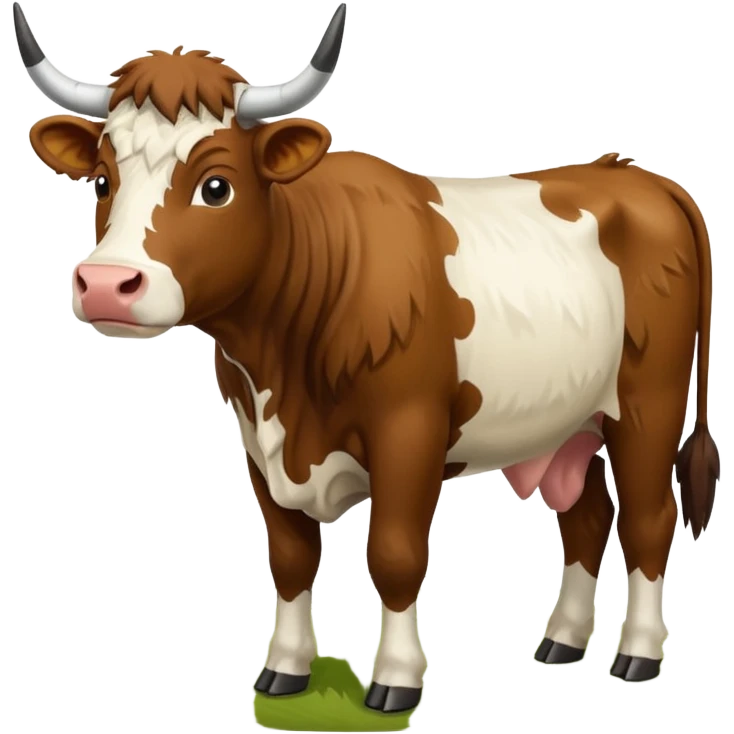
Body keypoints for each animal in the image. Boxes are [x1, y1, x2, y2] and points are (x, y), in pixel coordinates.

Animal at [14, 0, 719, 707]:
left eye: (216, 186)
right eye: (102, 179)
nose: (106, 283)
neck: (282, 363)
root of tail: (633, 176)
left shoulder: (409, 431)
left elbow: (394, 554)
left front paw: (397, 679)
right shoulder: (257, 436)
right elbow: (291, 557)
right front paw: (286, 668)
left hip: (648, 403)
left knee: (649, 519)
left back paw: (638, 654)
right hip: (571, 423)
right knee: (587, 516)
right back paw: (562, 641)